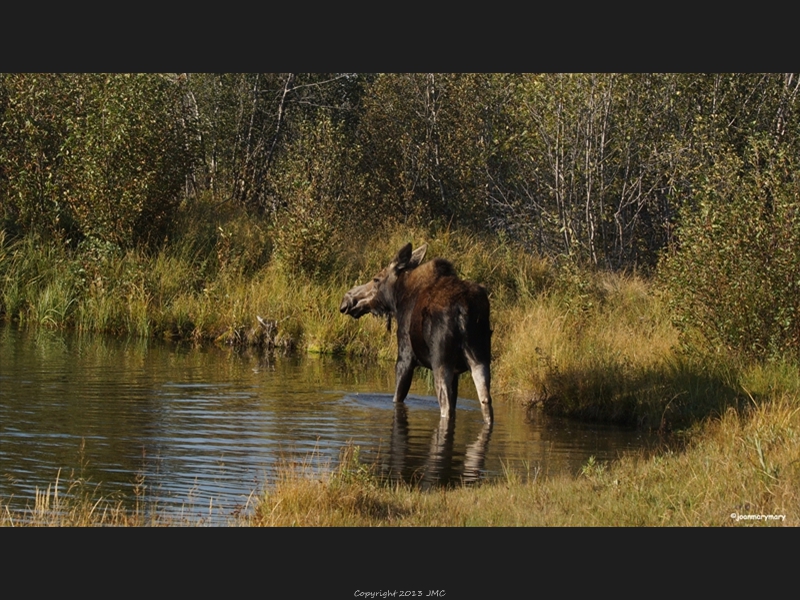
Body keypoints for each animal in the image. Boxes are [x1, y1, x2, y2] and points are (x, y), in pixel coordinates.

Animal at [340, 241, 490, 424]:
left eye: (376, 279)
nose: (347, 300)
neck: (398, 300)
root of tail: (463, 308)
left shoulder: (405, 357)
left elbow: (397, 398)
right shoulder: (456, 373)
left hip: (441, 362)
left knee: (446, 407)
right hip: (480, 360)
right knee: (486, 404)